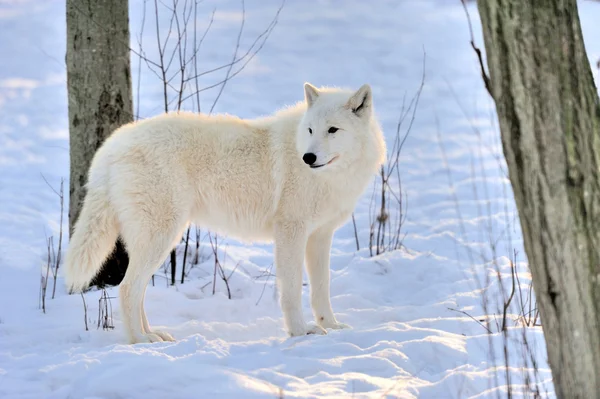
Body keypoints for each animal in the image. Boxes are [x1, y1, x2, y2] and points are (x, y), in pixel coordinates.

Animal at [64, 82, 384, 344]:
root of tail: (111, 146)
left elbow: (321, 288)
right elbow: (293, 289)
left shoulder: (320, 236)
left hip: (155, 240)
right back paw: (140, 341)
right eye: (310, 130)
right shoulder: (291, 232)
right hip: (163, 236)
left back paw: (152, 334)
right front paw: (300, 332)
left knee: (137, 291)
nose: (308, 157)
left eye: (332, 130)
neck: (331, 177)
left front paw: (331, 325)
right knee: (128, 288)